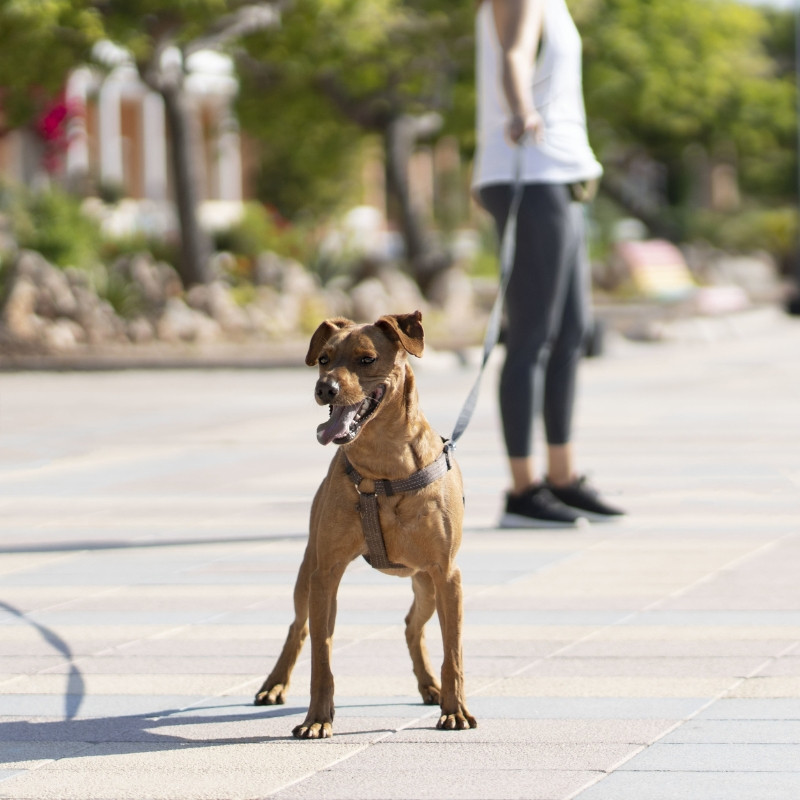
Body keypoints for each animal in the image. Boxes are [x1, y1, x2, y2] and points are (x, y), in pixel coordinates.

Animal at [253, 310, 476, 736]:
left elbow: (454, 651)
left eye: (366, 359)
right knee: (299, 627)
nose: (325, 388)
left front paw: (454, 709)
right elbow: (322, 655)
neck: (384, 468)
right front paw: (317, 718)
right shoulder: (326, 574)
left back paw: (431, 686)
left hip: (427, 584)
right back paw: (274, 685)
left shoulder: (448, 575)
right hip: (308, 574)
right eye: (324, 358)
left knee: (412, 625)